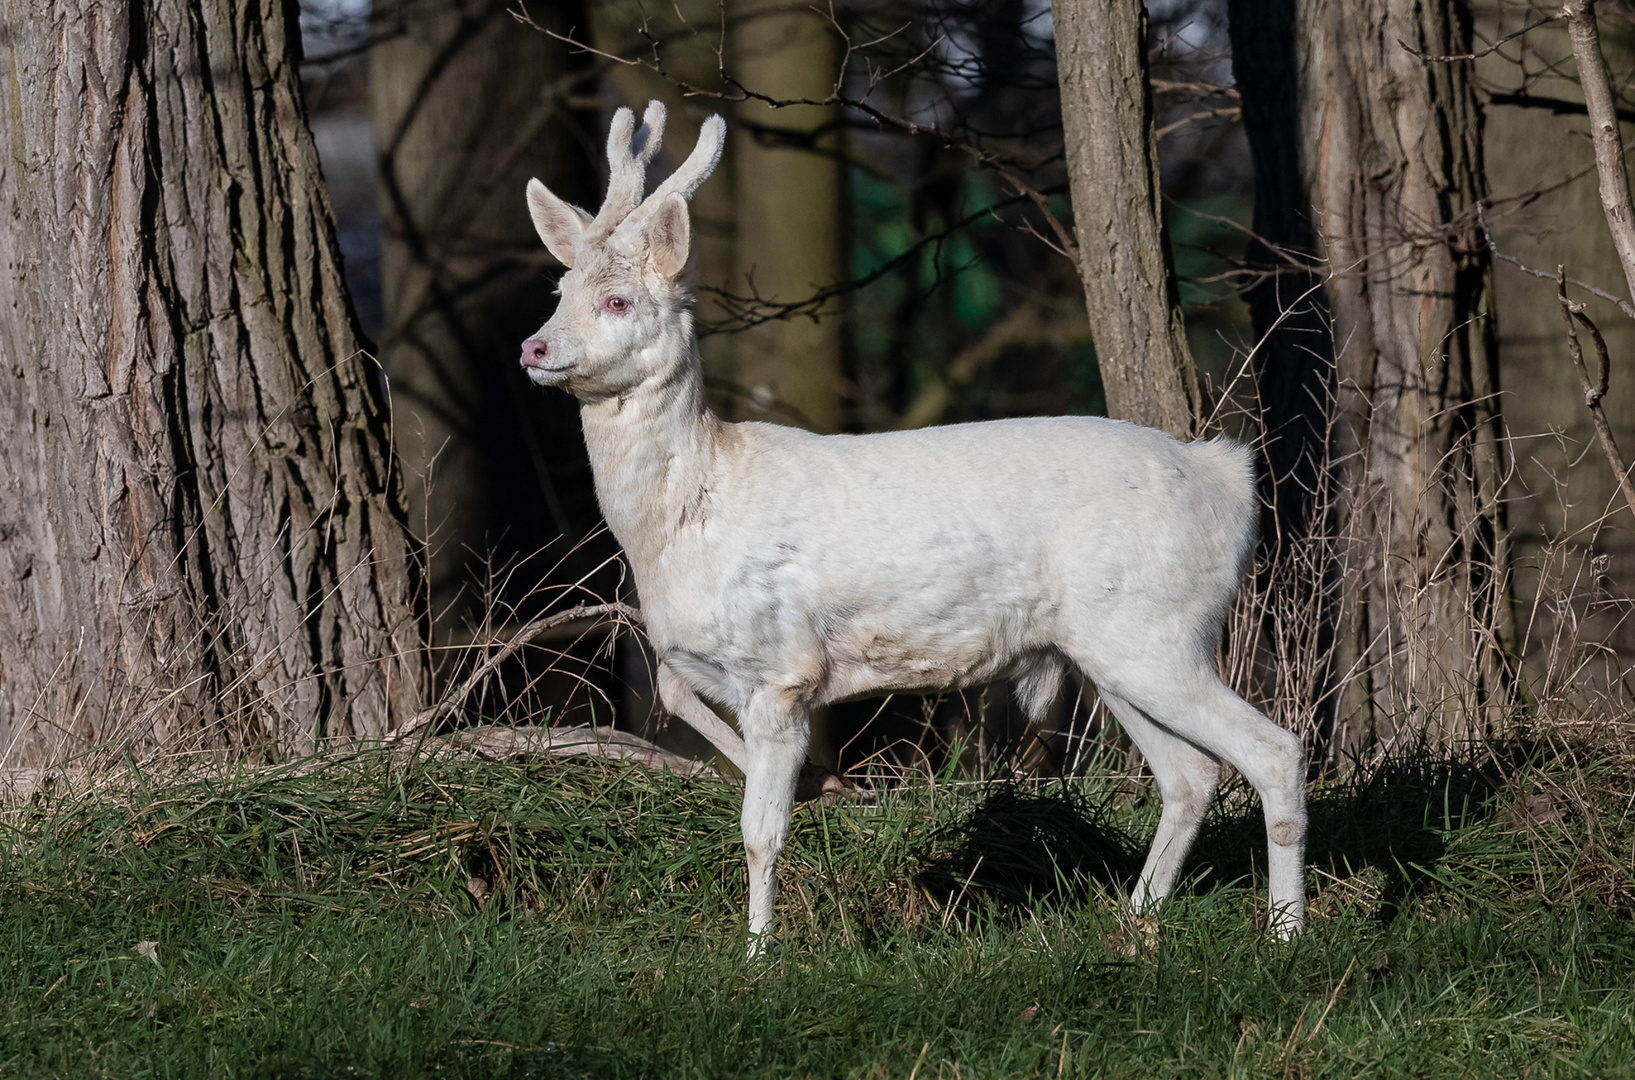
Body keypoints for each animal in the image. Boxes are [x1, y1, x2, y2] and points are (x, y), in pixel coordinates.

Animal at [516, 105, 1308, 947]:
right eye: (559, 288)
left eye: (617, 301)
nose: (533, 345)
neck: (686, 517)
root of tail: (1228, 480)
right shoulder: (699, 656)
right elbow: (670, 693)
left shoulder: (780, 666)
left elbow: (759, 831)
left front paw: (758, 951)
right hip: (1114, 644)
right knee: (1192, 773)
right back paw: (1135, 921)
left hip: (1155, 628)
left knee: (1274, 750)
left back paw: (1285, 936)